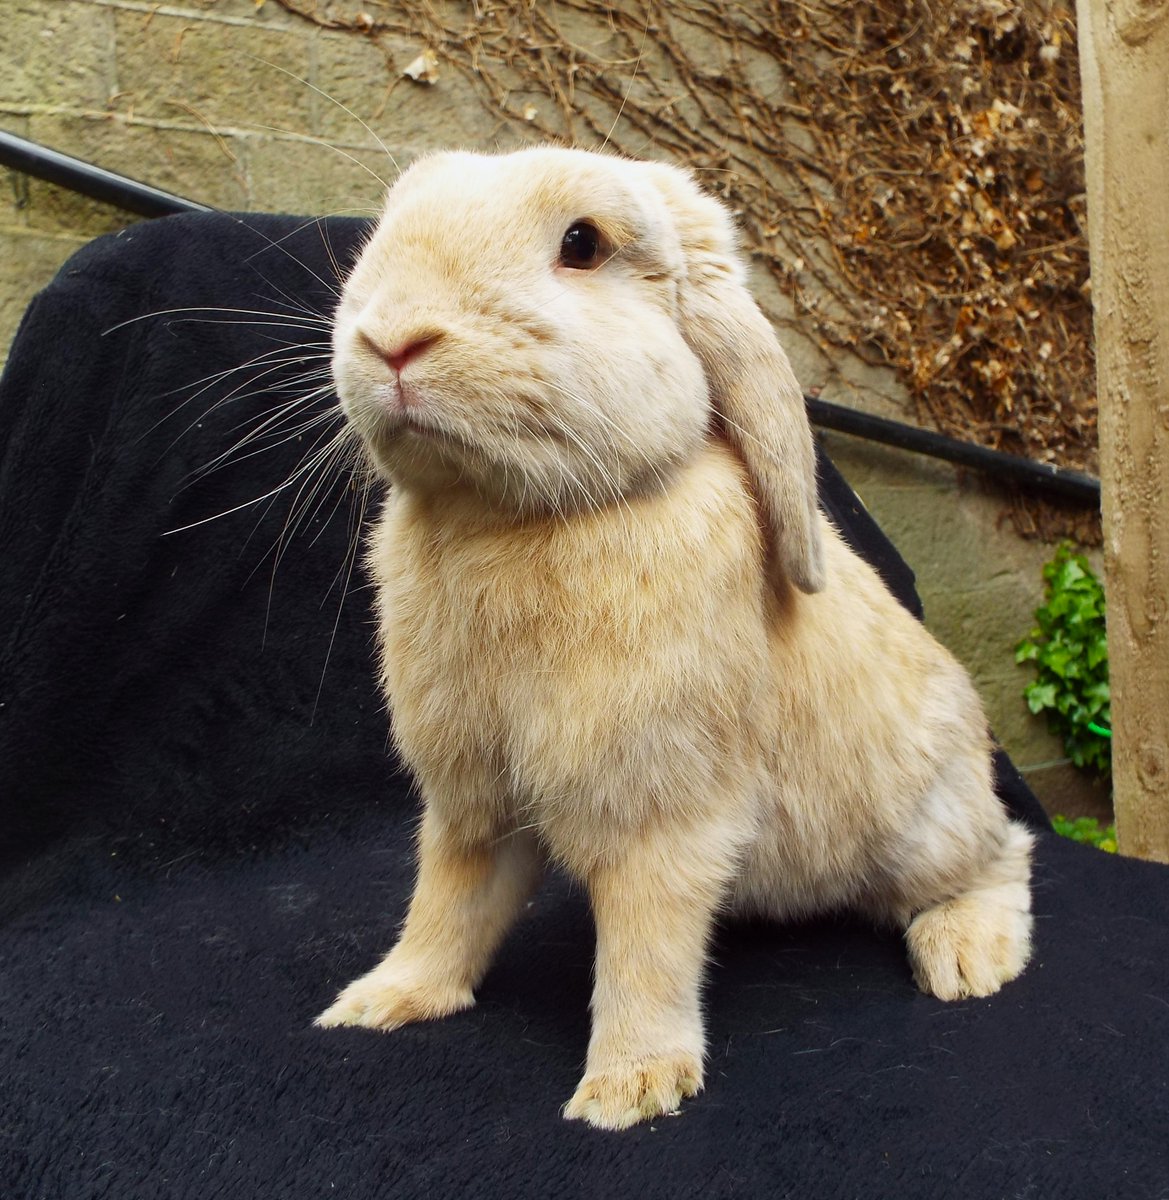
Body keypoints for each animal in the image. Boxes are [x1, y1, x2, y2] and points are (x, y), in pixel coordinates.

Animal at [315, 146, 1034, 1130]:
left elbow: (645, 951)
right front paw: (384, 1000)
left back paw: (966, 955)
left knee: (1004, 858)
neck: (505, 516)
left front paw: (627, 1088)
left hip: (927, 828)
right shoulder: (472, 804)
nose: (391, 340)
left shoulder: (659, 815)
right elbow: (447, 905)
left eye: (582, 243)